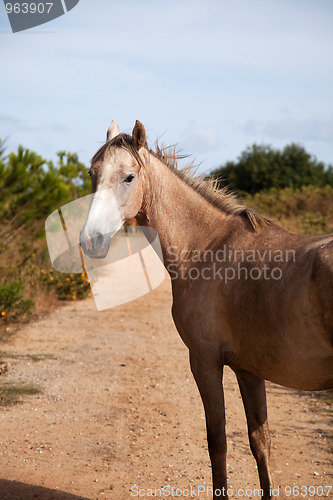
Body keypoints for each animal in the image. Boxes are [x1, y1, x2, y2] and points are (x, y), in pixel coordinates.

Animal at [78, 119, 332, 498]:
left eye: (129, 177)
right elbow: (261, 444)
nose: (90, 240)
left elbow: (218, 443)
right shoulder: (249, 370)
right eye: (92, 173)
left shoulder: (204, 361)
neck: (207, 247)